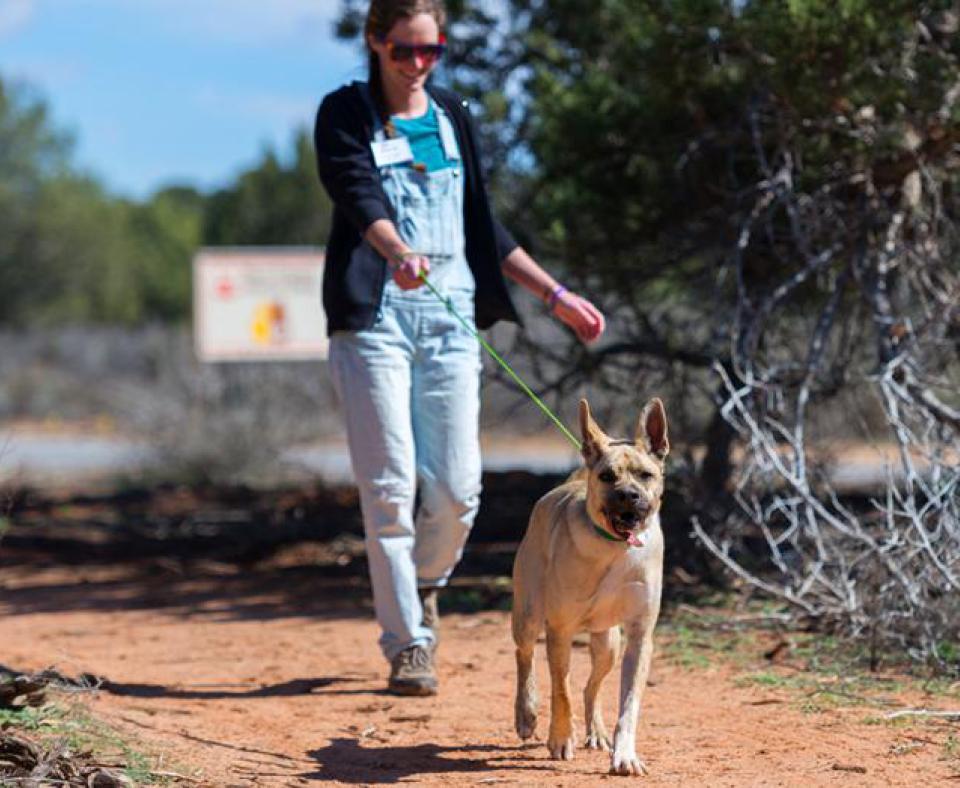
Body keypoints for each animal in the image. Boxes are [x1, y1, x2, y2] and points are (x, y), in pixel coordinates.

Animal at [510, 398, 668, 780]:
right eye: (608, 476)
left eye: (646, 475)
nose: (629, 495)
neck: (616, 549)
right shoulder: (560, 630)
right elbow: (561, 690)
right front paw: (559, 739)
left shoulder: (639, 636)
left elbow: (629, 704)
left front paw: (625, 755)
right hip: (527, 615)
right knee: (525, 657)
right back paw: (526, 714)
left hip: (608, 642)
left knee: (591, 686)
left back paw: (595, 730)